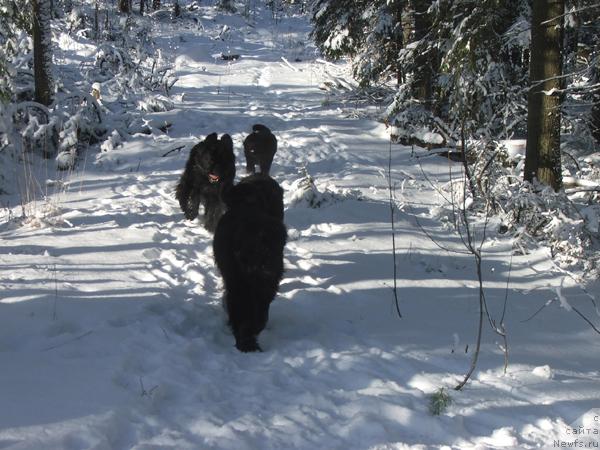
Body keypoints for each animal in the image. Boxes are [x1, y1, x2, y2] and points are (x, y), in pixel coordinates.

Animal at [213, 174, 288, 354]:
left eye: (280, 246)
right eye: (259, 246)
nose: (272, 269)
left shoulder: (266, 286)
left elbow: (260, 313)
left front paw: (250, 336)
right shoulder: (236, 283)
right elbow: (241, 309)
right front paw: (245, 341)